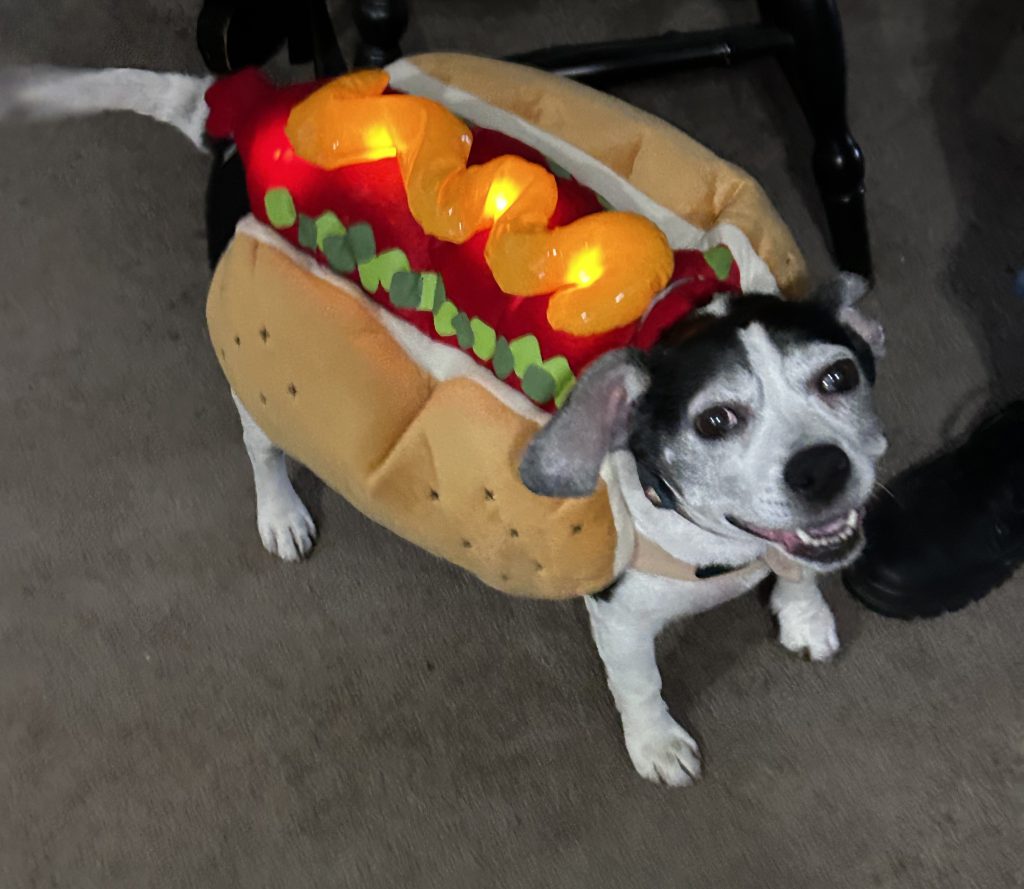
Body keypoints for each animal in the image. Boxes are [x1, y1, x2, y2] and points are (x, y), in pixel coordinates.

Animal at [0, 66, 884, 786]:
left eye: (839, 377)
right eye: (717, 419)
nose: (821, 468)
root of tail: (251, 113)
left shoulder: (803, 538)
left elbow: (801, 569)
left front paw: (804, 616)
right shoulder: (620, 615)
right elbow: (640, 682)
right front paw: (657, 743)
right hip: (260, 379)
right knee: (261, 449)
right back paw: (281, 513)